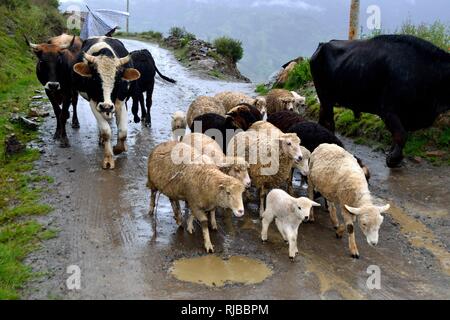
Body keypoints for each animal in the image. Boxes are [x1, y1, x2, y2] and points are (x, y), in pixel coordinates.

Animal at [72, 37, 141, 170]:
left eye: (118, 80)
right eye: (95, 79)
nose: (106, 106)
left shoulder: (120, 102)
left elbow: (123, 132)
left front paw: (119, 148)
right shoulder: (94, 103)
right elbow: (106, 131)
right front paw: (108, 158)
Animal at [312, 34, 448, 168]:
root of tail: (323, 44)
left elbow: (398, 136)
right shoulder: (388, 111)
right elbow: (401, 135)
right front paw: (393, 159)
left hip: (325, 101)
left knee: (323, 121)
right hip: (325, 97)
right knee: (330, 123)